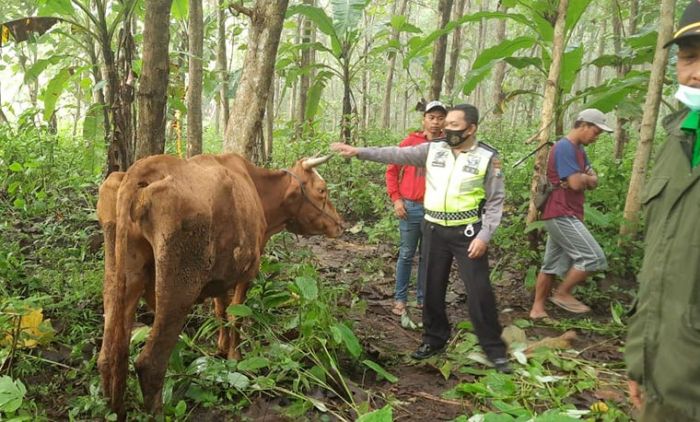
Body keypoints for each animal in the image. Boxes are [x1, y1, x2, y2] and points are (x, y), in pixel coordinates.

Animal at [95, 152, 342, 416]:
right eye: (322, 190)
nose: (340, 224)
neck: (259, 190)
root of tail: (142, 169)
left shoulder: (221, 274)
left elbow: (221, 310)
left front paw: (221, 348)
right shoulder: (248, 271)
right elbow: (237, 316)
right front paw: (235, 355)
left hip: (118, 275)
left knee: (110, 356)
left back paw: (115, 410)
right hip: (179, 288)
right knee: (150, 363)